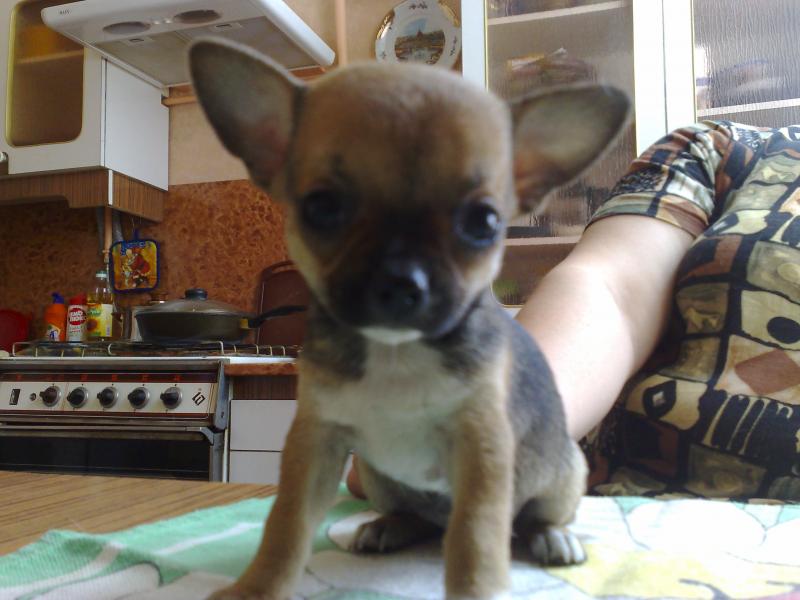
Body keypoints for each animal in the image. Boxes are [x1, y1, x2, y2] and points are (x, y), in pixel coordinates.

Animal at [189, 38, 628, 600]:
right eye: (321, 207)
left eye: (484, 223)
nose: (401, 280)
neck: (396, 349)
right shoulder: (315, 444)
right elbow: (285, 528)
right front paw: (257, 588)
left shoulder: (482, 451)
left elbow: (476, 539)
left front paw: (477, 588)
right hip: (375, 474)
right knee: (418, 518)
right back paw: (387, 527)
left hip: (563, 472)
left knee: (522, 521)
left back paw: (551, 537)